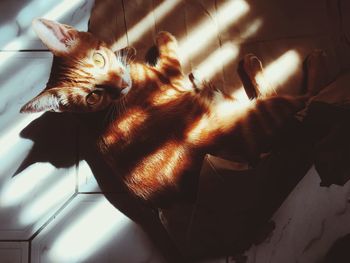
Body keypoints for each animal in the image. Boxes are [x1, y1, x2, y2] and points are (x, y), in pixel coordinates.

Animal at [20, 19, 316, 208]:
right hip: (262, 113)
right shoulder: (171, 75)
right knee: (301, 97)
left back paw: (205, 82)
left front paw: (127, 49)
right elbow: (170, 52)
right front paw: (162, 36)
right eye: (93, 96)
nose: (121, 84)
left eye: (98, 59)